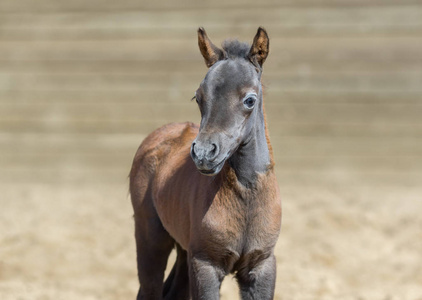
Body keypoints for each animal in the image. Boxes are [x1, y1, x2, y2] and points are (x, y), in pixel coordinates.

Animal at [129, 27, 280, 298]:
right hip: (151, 239)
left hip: (183, 249)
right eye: (198, 97)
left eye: (250, 100)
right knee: (149, 289)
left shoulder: (262, 265)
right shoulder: (205, 264)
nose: (203, 153)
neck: (246, 199)